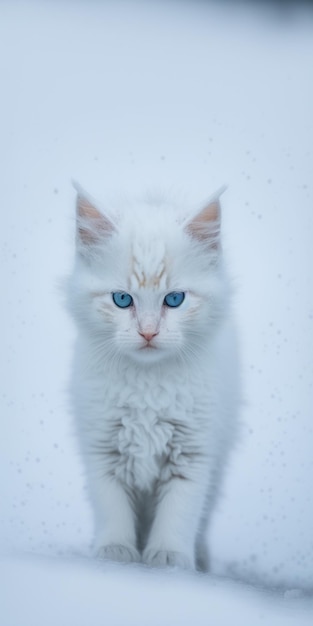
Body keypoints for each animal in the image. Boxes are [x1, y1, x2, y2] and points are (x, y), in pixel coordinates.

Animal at [67, 183, 239, 568]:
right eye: (121, 299)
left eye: (174, 300)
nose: (148, 332)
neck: (147, 386)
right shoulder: (103, 446)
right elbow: (112, 505)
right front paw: (115, 551)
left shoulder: (194, 451)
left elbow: (180, 511)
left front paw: (169, 557)